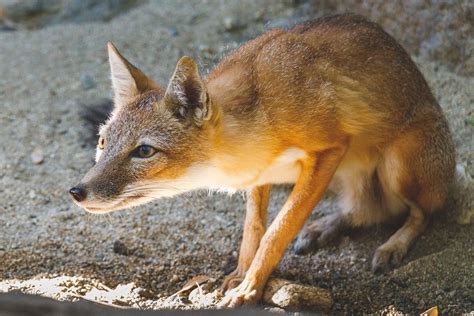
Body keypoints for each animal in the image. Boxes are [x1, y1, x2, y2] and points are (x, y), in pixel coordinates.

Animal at [70, 14, 456, 306]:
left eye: (144, 151)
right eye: (103, 142)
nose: (77, 191)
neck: (258, 112)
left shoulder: (328, 150)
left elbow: (278, 229)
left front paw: (250, 287)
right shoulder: (262, 172)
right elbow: (253, 229)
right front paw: (240, 275)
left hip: (396, 165)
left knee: (421, 213)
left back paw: (393, 244)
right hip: (348, 174)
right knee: (364, 210)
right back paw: (325, 227)